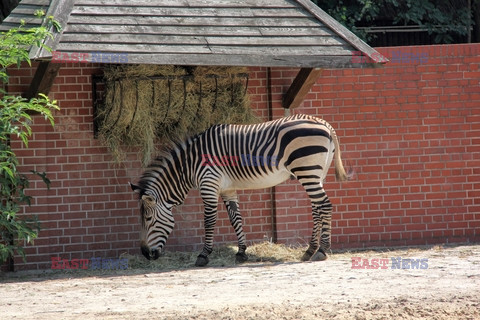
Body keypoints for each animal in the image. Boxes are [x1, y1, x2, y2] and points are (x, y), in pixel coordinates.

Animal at [130, 114, 348, 266]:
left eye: (147, 218)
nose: (145, 254)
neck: (190, 165)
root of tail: (324, 124)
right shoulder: (228, 189)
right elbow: (236, 219)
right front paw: (242, 252)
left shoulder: (209, 184)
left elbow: (209, 221)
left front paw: (203, 255)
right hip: (316, 173)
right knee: (317, 208)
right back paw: (309, 250)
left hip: (307, 170)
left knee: (325, 206)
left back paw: (322, 251)